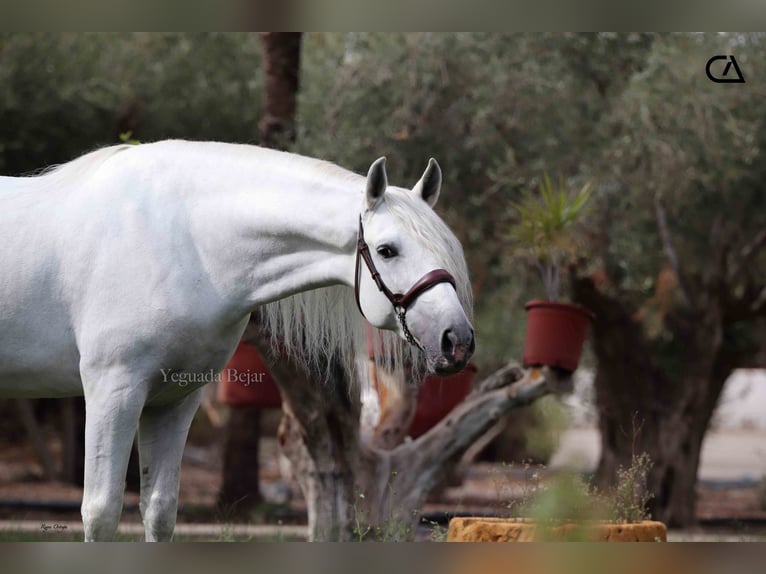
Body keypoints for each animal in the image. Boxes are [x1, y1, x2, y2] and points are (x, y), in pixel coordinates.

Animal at [0, 142, 476, 544]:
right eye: (387, 250)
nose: (457, 340)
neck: (180, 240)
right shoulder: (111, 391)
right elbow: (100, 513)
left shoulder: (174, 399)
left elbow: (159, 511)